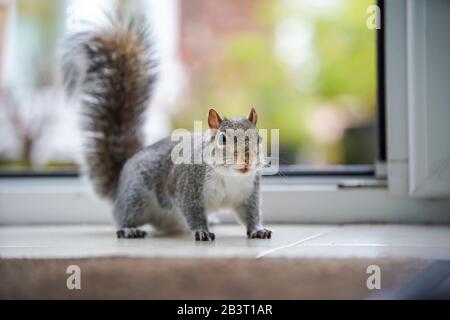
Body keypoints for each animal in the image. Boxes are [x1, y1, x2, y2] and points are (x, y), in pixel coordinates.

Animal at [62, 15, 270, 240]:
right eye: (222, 139)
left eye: (259, 138)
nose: (247, 160)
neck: (230, 176)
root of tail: (119, 184)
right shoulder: (187, 188)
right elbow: (193, 212)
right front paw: (202, 231)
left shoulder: (248, 194)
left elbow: (250, 214)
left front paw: (258, 229)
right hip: (135, 194)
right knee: (122, 215)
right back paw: (129, 228)